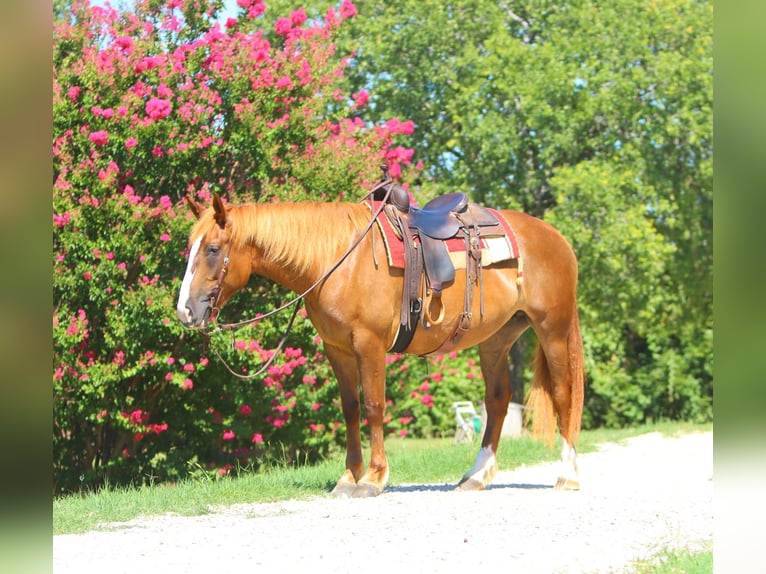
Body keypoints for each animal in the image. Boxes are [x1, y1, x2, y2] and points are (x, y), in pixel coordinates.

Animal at [178, 191, 588, 498]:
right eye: (190, 246)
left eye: (212, 248)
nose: (185, 310)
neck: (336, 258)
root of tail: (557, 238)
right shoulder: (338, 349)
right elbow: (350, 409)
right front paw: (348, 477)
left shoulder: (369, 344)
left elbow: (374, 406)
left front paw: (374, 478)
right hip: (496, 339)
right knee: (498, 400)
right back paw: (475, 476)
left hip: (552, 329)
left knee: (563, 395)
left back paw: (567, 475)